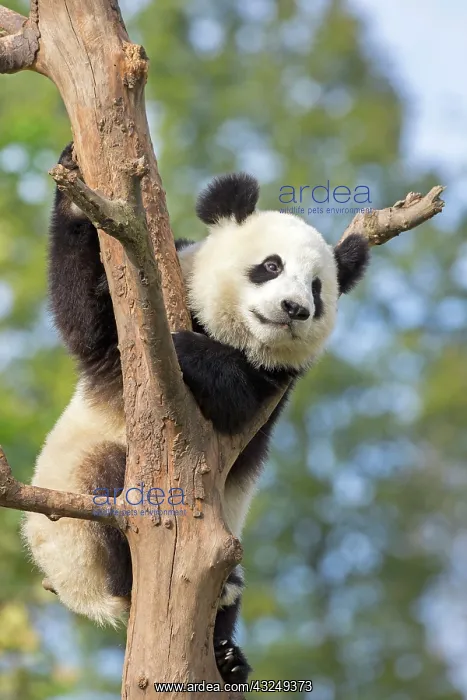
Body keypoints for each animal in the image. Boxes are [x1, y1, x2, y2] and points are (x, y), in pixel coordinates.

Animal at [23, 144, 369, 683]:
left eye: (317, 288)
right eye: (271, 266)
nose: (295, 309)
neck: (227, 329)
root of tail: (83, 598)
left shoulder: (277, 385)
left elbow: (237, 401)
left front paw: (189, 350)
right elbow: (85, 318)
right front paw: (77, 185)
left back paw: (227, 650)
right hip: (71, 527)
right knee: (108, 482)